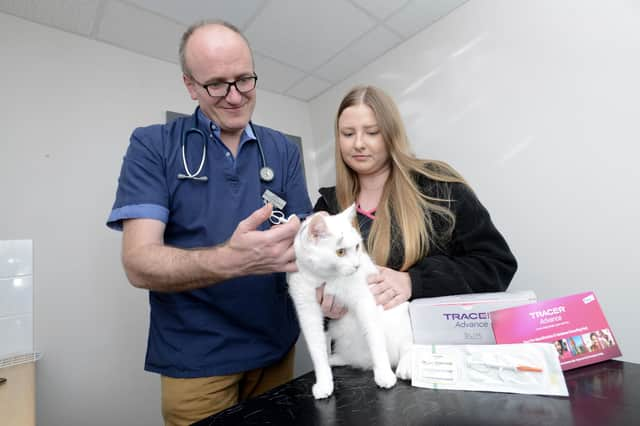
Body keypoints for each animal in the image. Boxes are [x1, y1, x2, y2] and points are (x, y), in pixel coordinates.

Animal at [286, 206, 416, 400]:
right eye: (340, 252)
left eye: (356, 246)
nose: (357, 266)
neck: (327, 277)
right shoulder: (306, 311)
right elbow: (317, 351)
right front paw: (324, 383)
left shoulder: (364, 301)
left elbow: (376, 340)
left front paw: (384, 375)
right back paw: (333, 360)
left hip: (402, 315)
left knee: (408, 345)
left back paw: (405, 367)